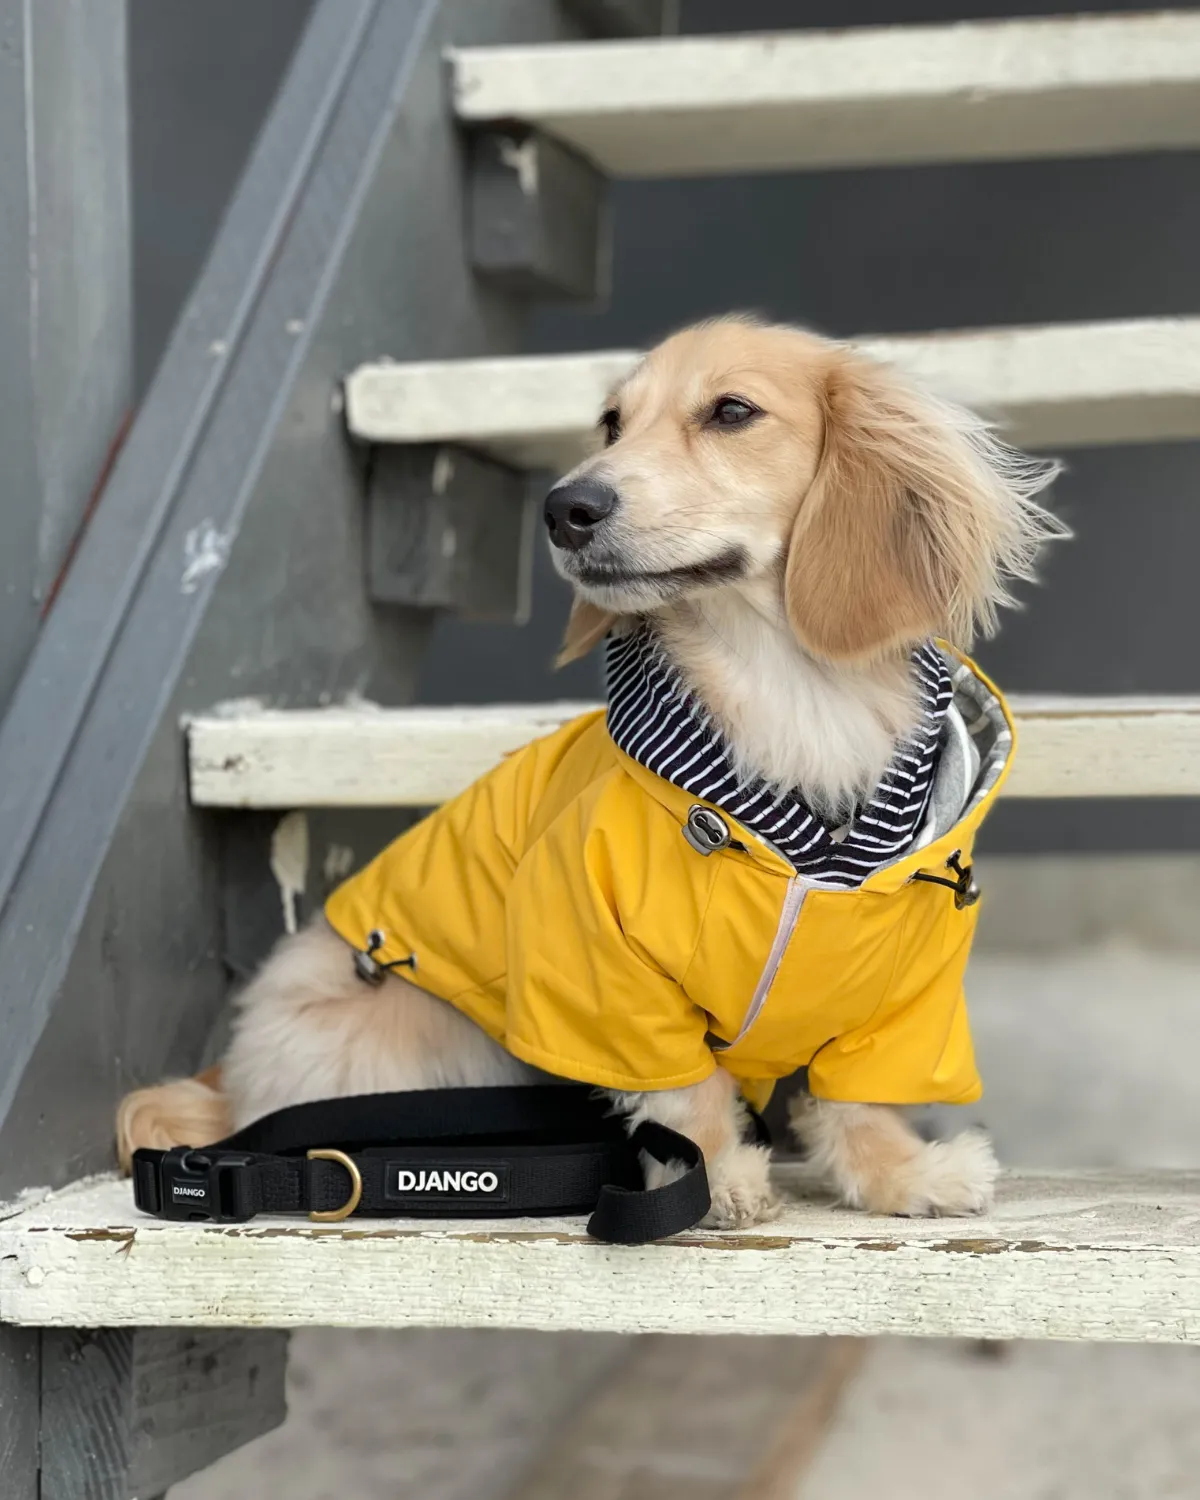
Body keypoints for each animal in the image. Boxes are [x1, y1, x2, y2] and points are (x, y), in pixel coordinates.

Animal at [119, 313, 1062, 1218]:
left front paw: (903, 1176)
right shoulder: (605, 967)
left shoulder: (907, 991)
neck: (788, 693)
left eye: (732, 411)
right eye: (611, 423)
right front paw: (714, 1176)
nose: (565, 507)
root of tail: (233, 1086)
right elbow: (683, 1090)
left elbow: (859, 1098)